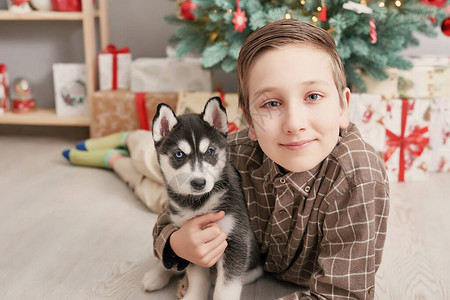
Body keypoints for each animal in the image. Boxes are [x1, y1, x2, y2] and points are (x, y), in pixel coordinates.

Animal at [144, 97, 262, 298]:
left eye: (210, 152)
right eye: (179, 154)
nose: (199, 183)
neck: (198, 204)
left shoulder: (236, 238)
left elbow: (225, 288)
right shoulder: (191, 241)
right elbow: (198, 277)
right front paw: (194, 295)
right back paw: (157, 275)